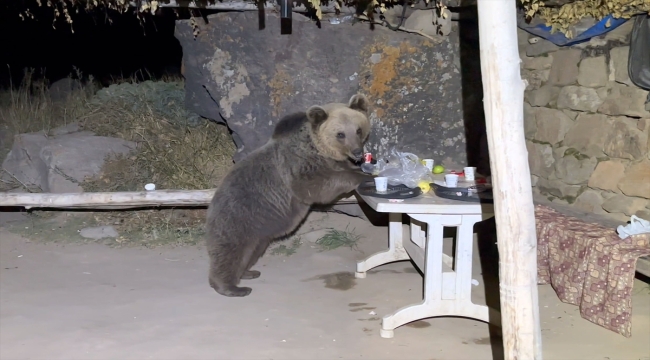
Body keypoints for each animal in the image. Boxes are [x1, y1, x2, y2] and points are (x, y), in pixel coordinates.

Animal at [205, 94, 372, 296]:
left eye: (358, 129)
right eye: (340, 134)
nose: (357, 152)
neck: (318, 148)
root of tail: (211, 206)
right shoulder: (298, 166)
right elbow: (319, 186)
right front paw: (364, 175)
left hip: (260, 232)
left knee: (251, 252)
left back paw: (248, 272)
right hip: (239, 219)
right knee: (231, 252)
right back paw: (232, 287)